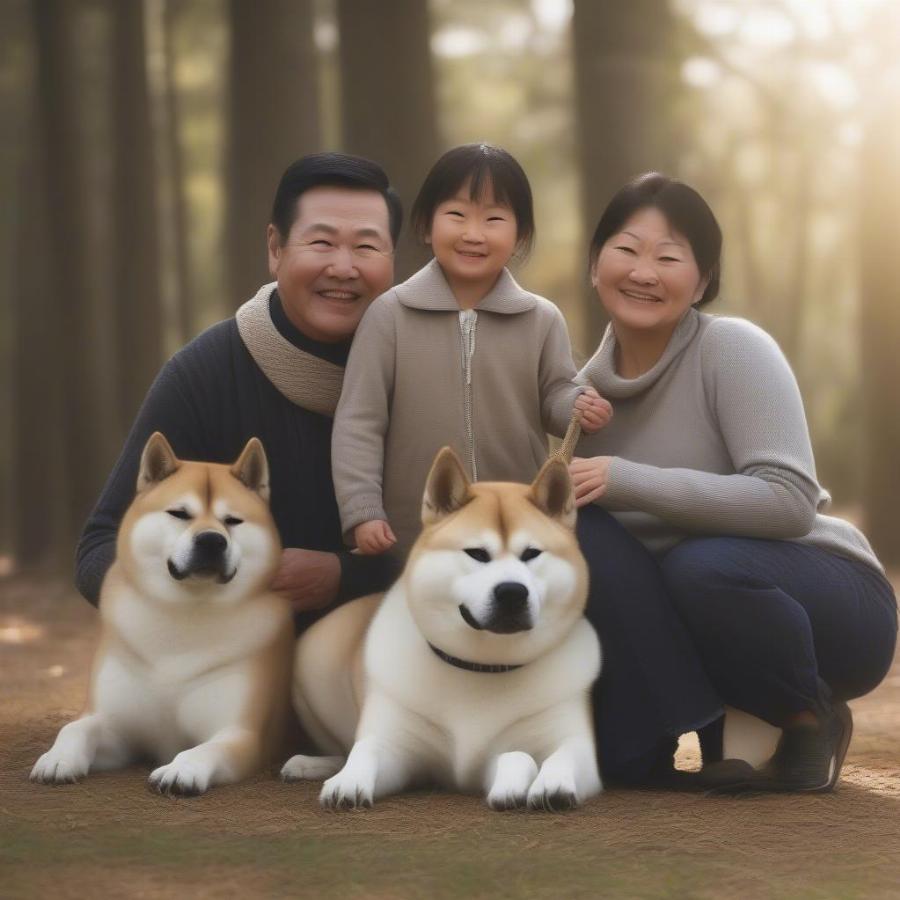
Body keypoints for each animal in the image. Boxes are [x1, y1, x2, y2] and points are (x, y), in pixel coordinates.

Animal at [29, 434, 292, 796]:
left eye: (232, 520)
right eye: (179, 513)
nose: (211, 540)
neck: (184, 615)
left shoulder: (241, 734)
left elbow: (205, 748)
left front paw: (182, 769)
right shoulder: (116, 732)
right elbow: (76, 729)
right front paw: (58, 758)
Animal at [284, 446, 600, 812]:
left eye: (532, 553)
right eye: (477, 553)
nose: (512, 592)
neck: (483, 667)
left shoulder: (567, 741)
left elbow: (549, 755)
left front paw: (551, 783)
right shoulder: (397, 747)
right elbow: (366, 749)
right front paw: (347, 781)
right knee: (345, 747)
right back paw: (310, 764)